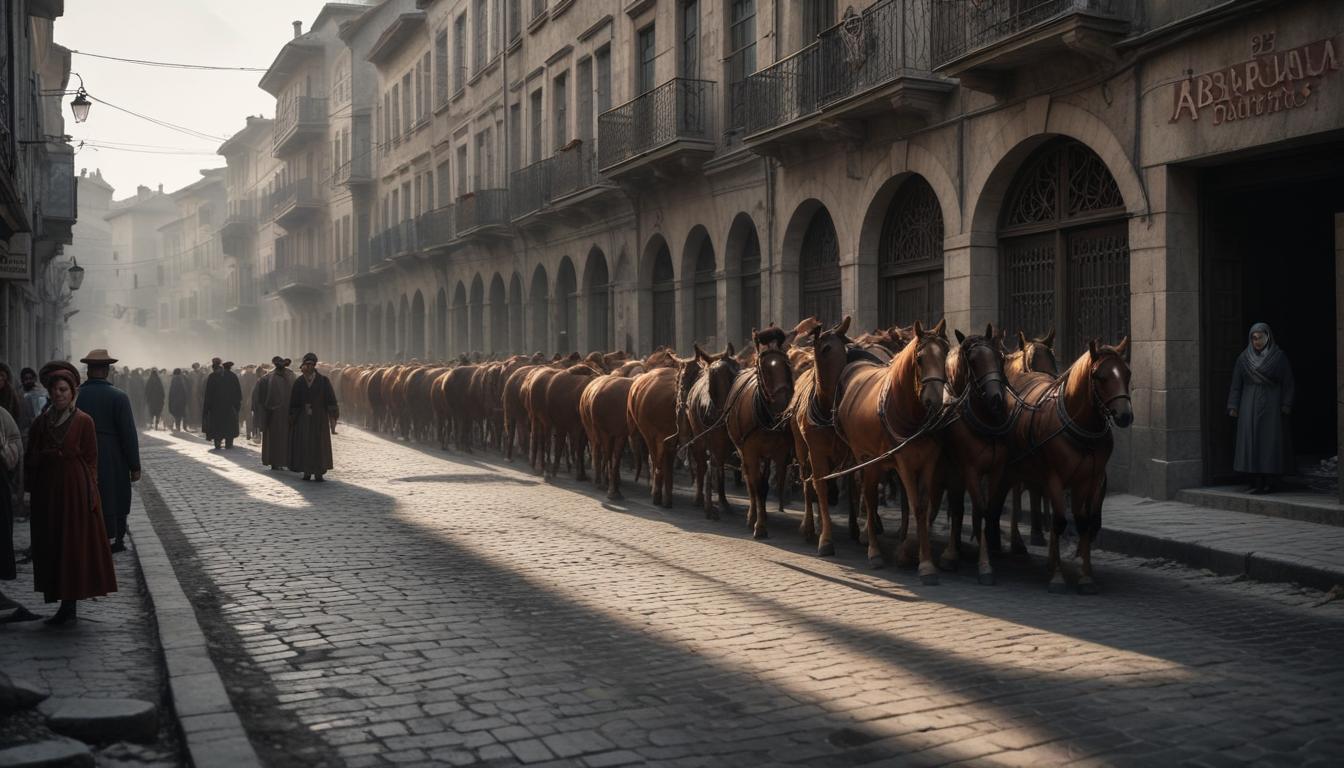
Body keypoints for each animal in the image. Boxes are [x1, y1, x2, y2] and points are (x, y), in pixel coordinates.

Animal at [688, 344, 741, 519]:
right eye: (711, 381)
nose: (709, 413)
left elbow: (718, 467)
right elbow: (712, 466)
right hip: (701, 438)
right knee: (703, 464)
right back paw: (702, 499)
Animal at [833, 320, 951, 583]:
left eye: (946, 354)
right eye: (919, 359)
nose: (935, 401)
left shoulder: (929, 461)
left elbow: (923, 505)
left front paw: (922, 557)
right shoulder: (904, 462)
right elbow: (916, 505)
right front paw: (924, 563)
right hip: (866, 458)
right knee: (867, 494)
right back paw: (873, 550)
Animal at [1005, 337, 1128, 594]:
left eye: (1127, 373)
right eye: (1100, 376)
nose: (1125, 415)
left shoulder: (1091, 480)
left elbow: (1086, 523)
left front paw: (1086, 576)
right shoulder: (1054, 478)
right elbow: (1060, 521)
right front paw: (1058, 577)